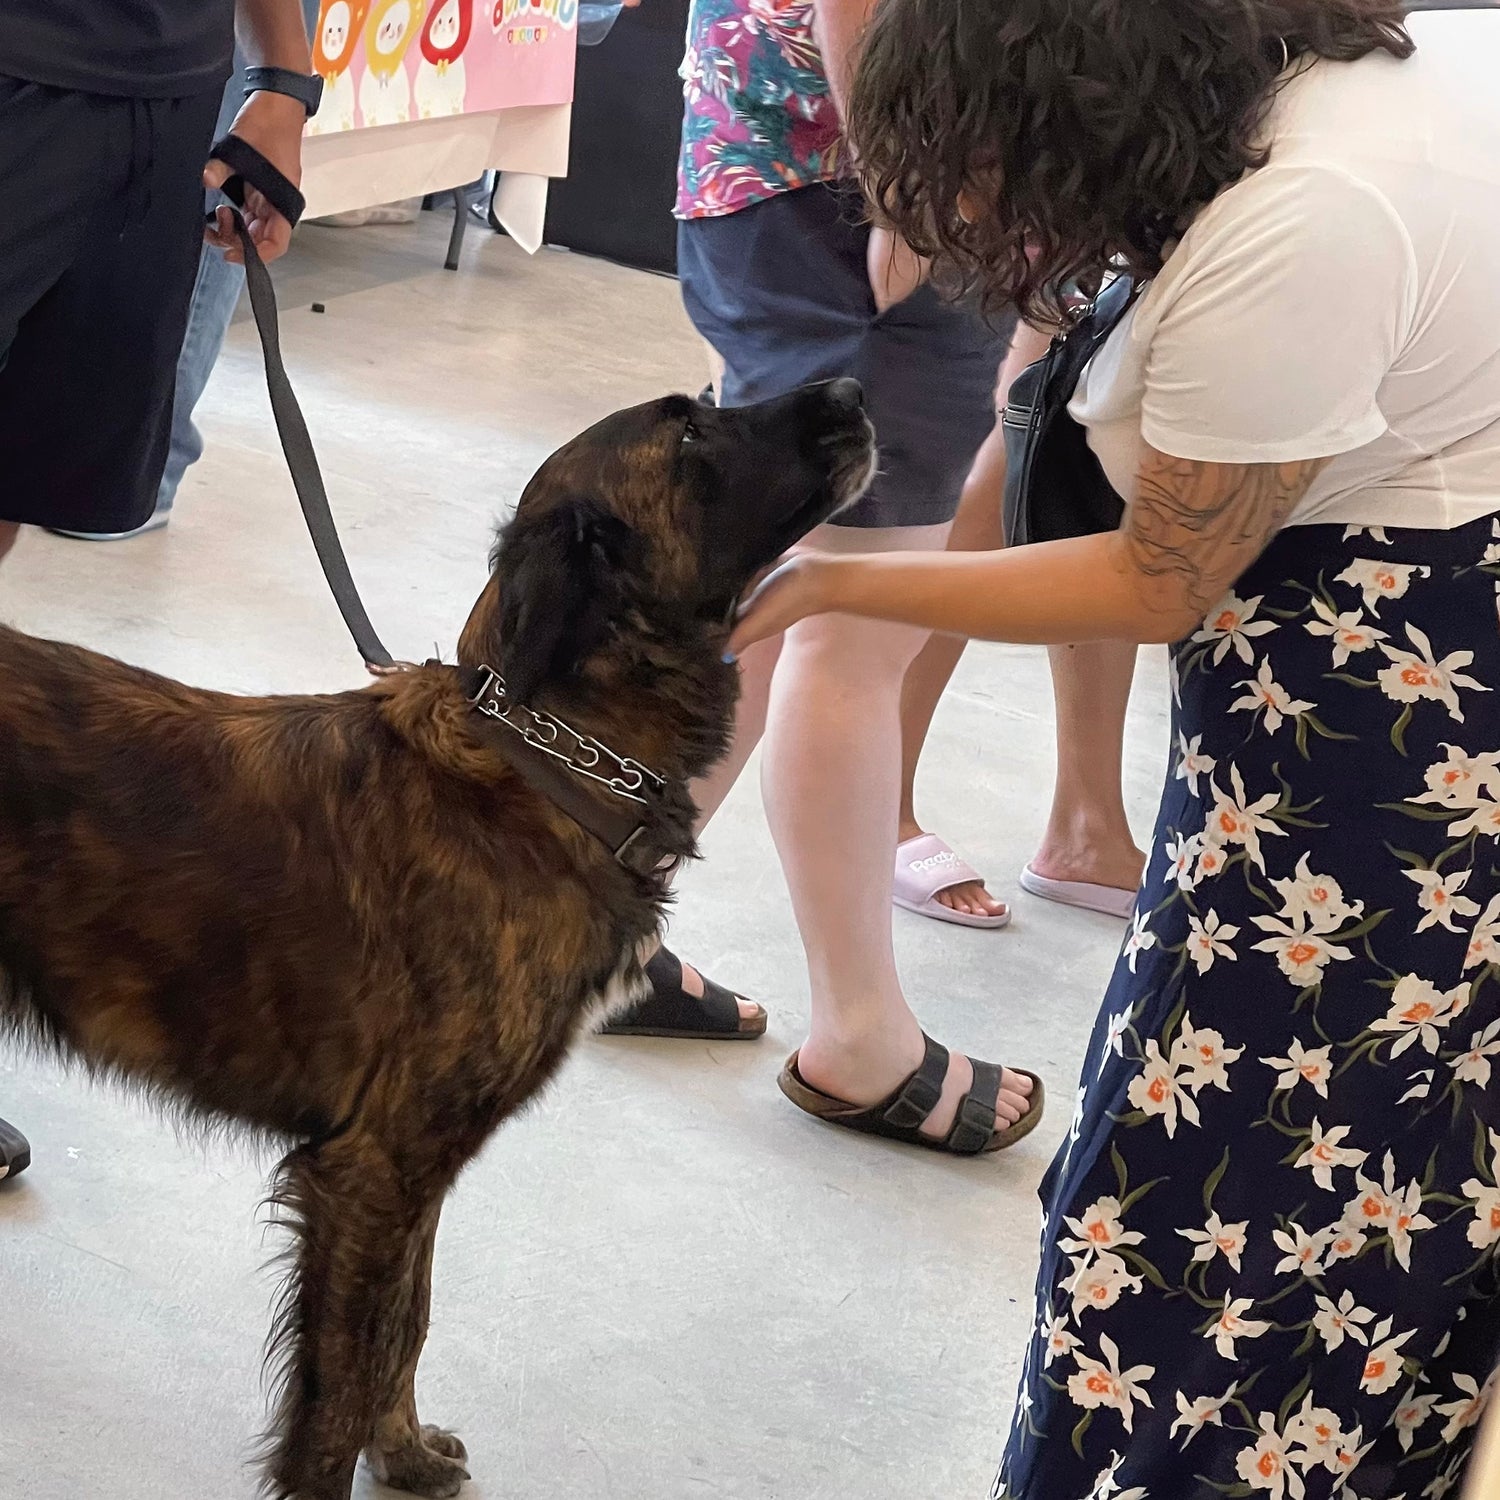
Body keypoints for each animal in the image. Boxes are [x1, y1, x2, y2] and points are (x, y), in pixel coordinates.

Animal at [0, 384, 876, 1500]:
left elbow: (406, 1326)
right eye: (688, 432)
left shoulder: (417, 1169)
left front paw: (407, 1452)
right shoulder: (375, 1167)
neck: (544, 763)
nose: (851, 395)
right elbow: (338, 1391)